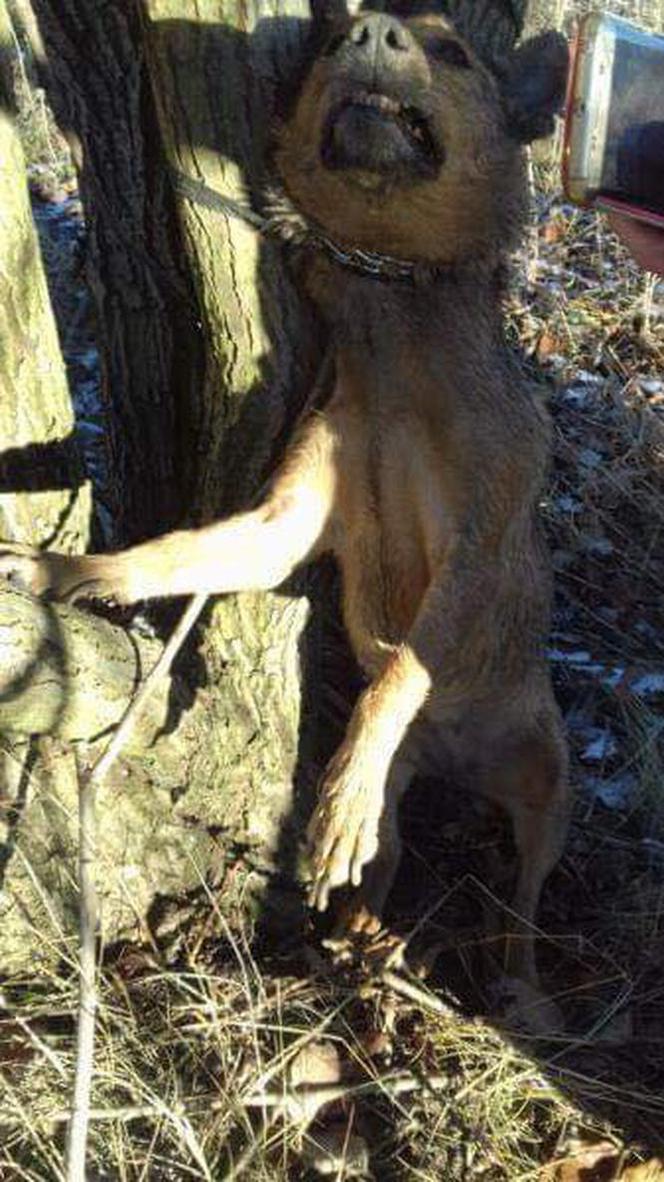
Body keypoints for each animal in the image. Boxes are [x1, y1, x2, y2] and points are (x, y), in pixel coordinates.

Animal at [0, 2, 569, 988]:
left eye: (453, 50)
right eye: (337, 43)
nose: (367, 31)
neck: (394, 328)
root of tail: (460, 764)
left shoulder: (481, 549)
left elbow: (400, 674)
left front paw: (339, 793)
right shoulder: (282, 526)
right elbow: (175, 552)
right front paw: (69, 572)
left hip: (551, 779)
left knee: (526, 897)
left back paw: (517, 974)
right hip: (416, 798)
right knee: (388, 858)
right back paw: (360, 930)